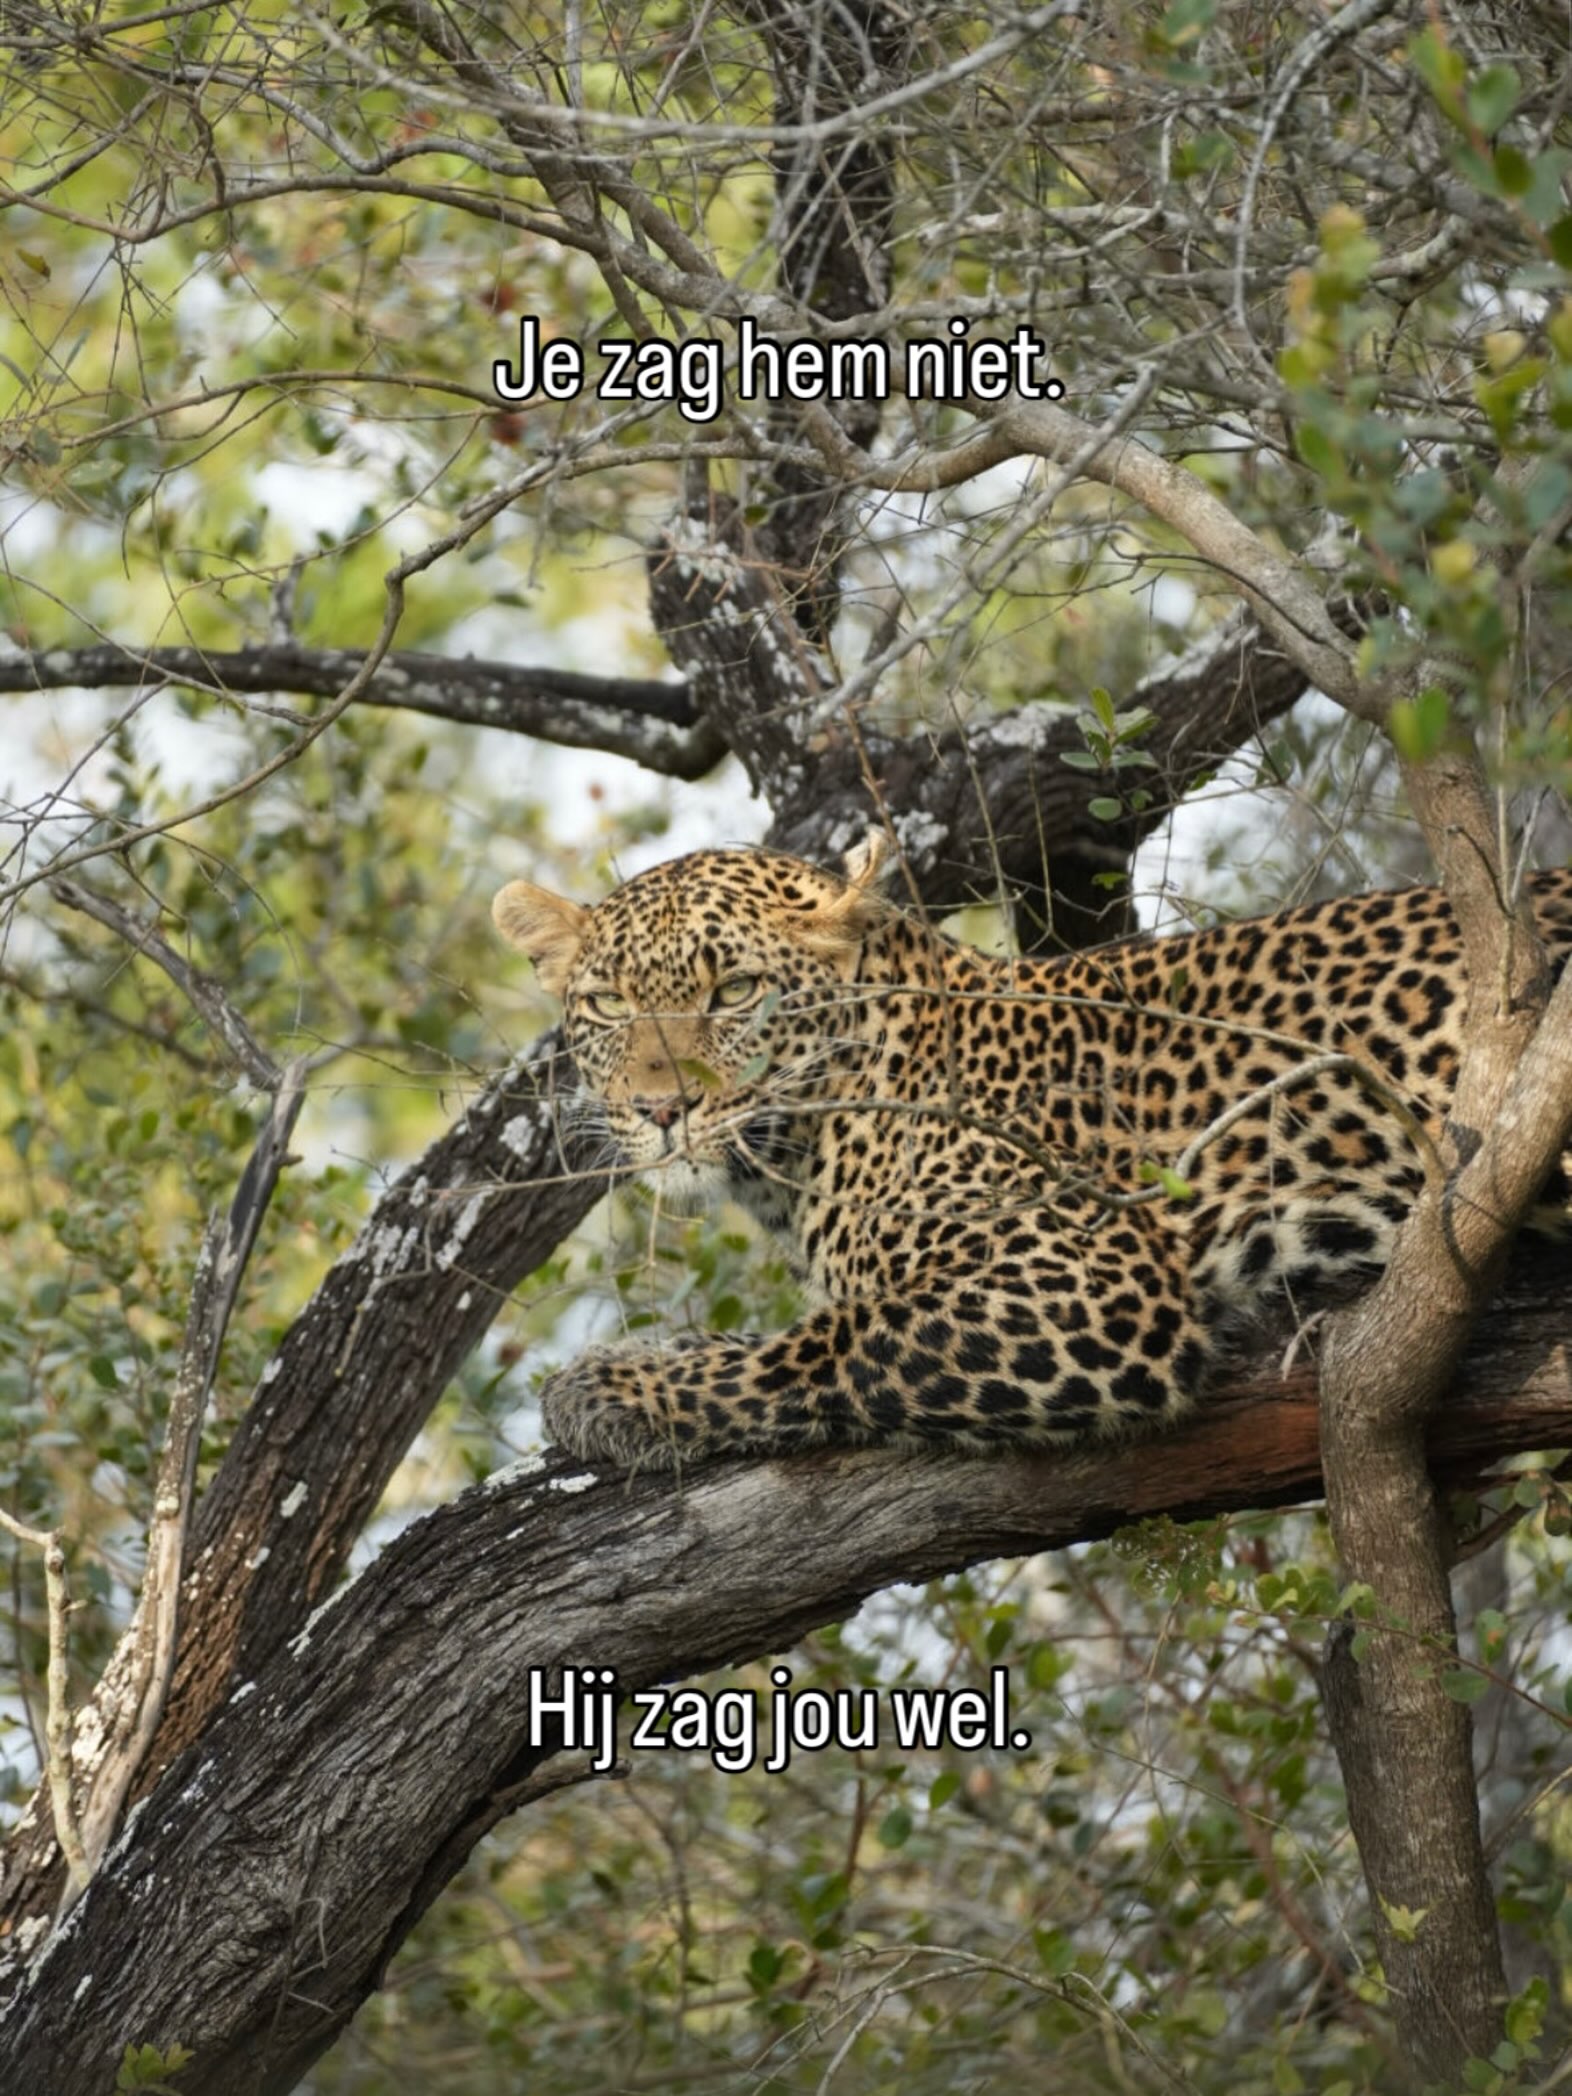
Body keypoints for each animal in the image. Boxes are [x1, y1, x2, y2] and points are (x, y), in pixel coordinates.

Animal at [493, 830, 1572, 1470]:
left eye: (735, 993)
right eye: (609, 1005)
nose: (660, 1107)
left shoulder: (1091, 1279)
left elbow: (831, 1340)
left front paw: (610, 1393)